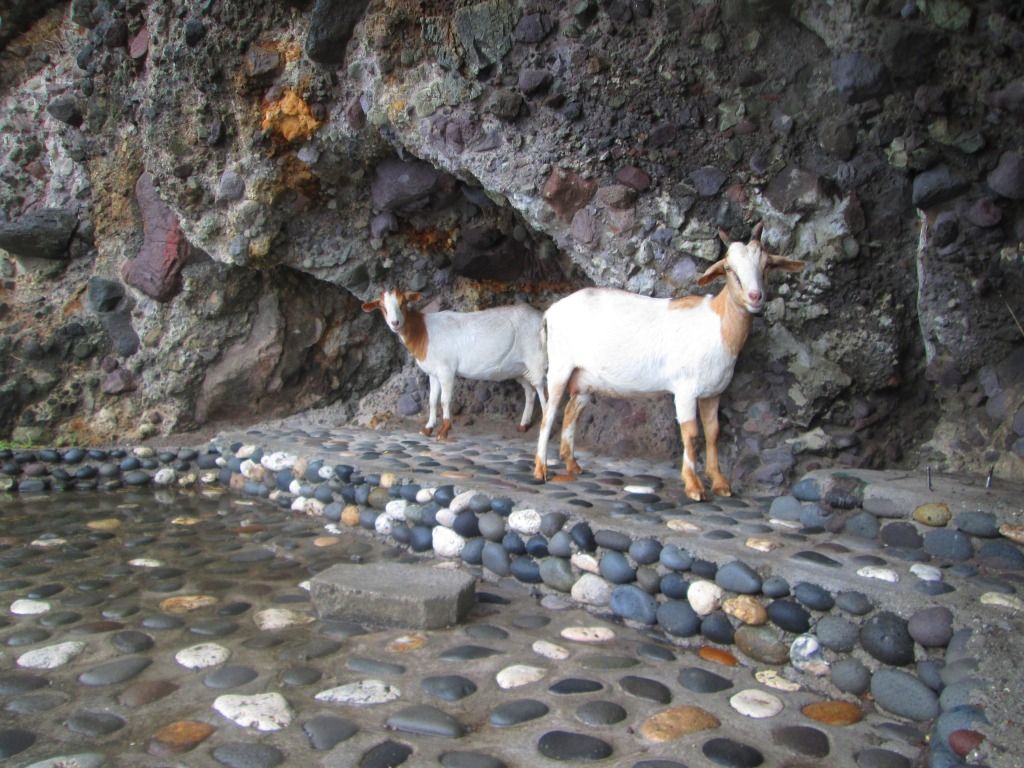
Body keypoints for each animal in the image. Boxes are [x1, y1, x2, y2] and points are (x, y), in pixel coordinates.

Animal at [364, 288, 548, 442]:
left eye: (403, 303)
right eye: (382, 306)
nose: (395, 323)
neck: (424, 332)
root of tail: (542, 316)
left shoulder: (446, 371)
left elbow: (445, 400)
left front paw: (444, 431)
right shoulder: (433, 373)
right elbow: (432, 400)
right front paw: (427, 428)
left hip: (537, 361)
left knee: (543, 392)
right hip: (520, 369)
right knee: (530, 392)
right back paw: (523, 425)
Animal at [532, 222, 802, 499]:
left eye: (767, 265)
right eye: (729, 268)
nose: (755, 296)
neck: (718, 324)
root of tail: (551, 311)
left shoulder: (713, 392)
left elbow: (713, 432)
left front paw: (720, 482)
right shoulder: (685, 390)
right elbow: (691, 434)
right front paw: (693, 486)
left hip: (585, 379)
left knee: (571, 411)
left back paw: (572, 464)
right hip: (560, 367)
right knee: (549, 413)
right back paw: (541, 470)